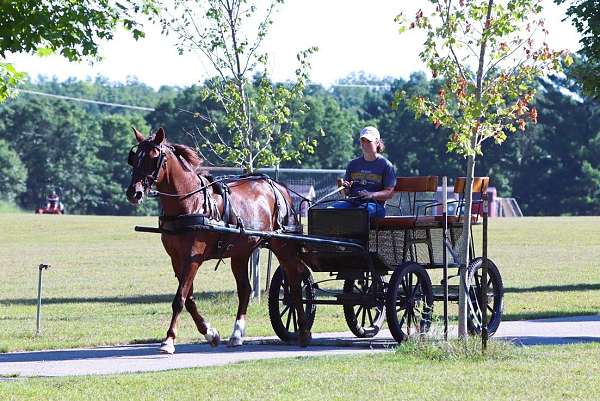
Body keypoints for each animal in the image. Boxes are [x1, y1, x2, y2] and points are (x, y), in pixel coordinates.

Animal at [127, 126, 314, 352]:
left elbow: (180, 298)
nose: (134, 193)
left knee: (294, 283)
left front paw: (169, 340)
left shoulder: (193, 257)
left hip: (283, 246)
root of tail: (280, 187)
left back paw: (303, 331)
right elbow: (188, 298)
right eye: (134, 158)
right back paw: (237, 335)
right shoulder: (176, 259)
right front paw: (210, 333)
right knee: (246, 290)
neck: (191, 202)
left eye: (155, 158)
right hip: (241, 252)